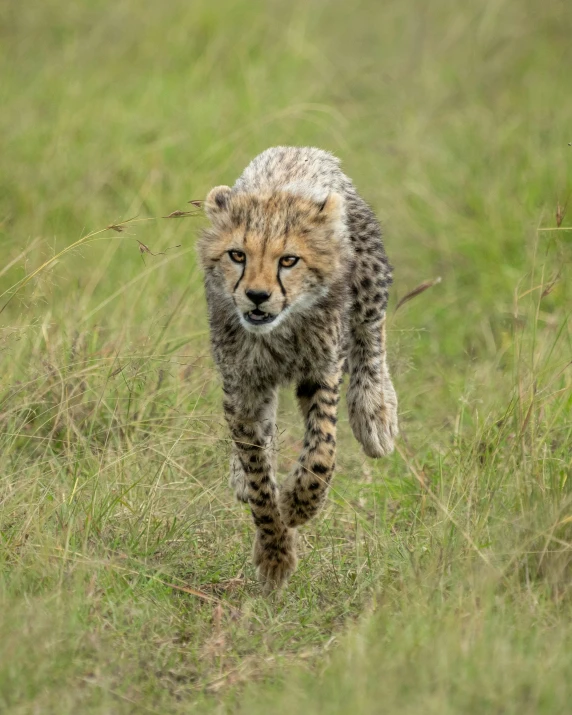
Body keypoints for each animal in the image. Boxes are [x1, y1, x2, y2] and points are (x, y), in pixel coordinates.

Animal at [199, 147, 400, 592]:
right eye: (237, 255)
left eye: (288, 260)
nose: (257, 296)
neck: (278, 333)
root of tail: (300, 150)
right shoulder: (242, 387)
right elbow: (259, 475)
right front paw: (275, 553)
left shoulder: (322, 369)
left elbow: (322, 452)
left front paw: (298, 505)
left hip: (369, 281)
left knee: (371, 334)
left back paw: (376, 413)